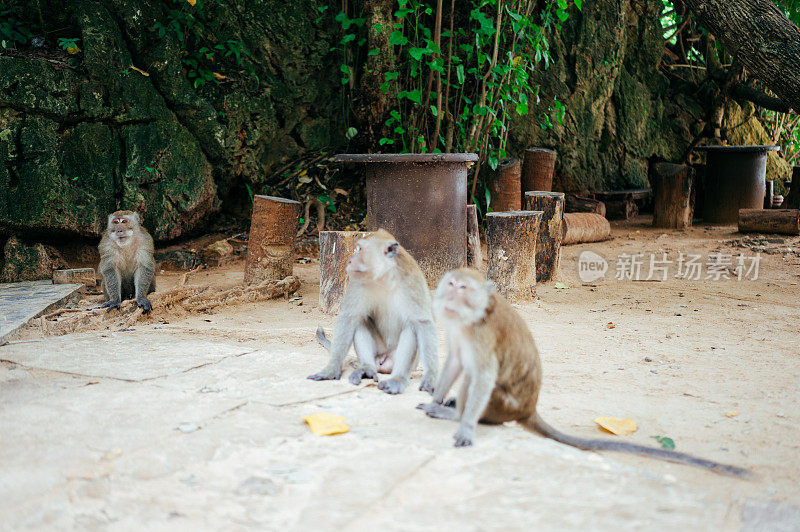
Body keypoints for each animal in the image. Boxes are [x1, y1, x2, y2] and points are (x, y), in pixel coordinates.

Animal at [310, 230, 440, 394]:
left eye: (360, 249)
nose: (350, 261)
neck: (383, 278)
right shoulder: (357, 281)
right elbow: (349, 318)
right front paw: (331, 370)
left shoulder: (411, 281)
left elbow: (423, 323)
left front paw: (431, 378)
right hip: (378, 351)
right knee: (360, 320)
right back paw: (367, 368)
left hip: (400, 360)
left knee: (411, 328)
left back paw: (398, 379)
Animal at [418, 268, 752, 480]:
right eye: (451, 283)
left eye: (464, 288)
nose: (451, 293)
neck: (473, 317)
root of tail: (529, 409)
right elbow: (455, 362)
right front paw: (437, 399)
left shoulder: (482, 335)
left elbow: (483, 376)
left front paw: (464, 426)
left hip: (503, 404)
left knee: (479, 383)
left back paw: (457, 415)